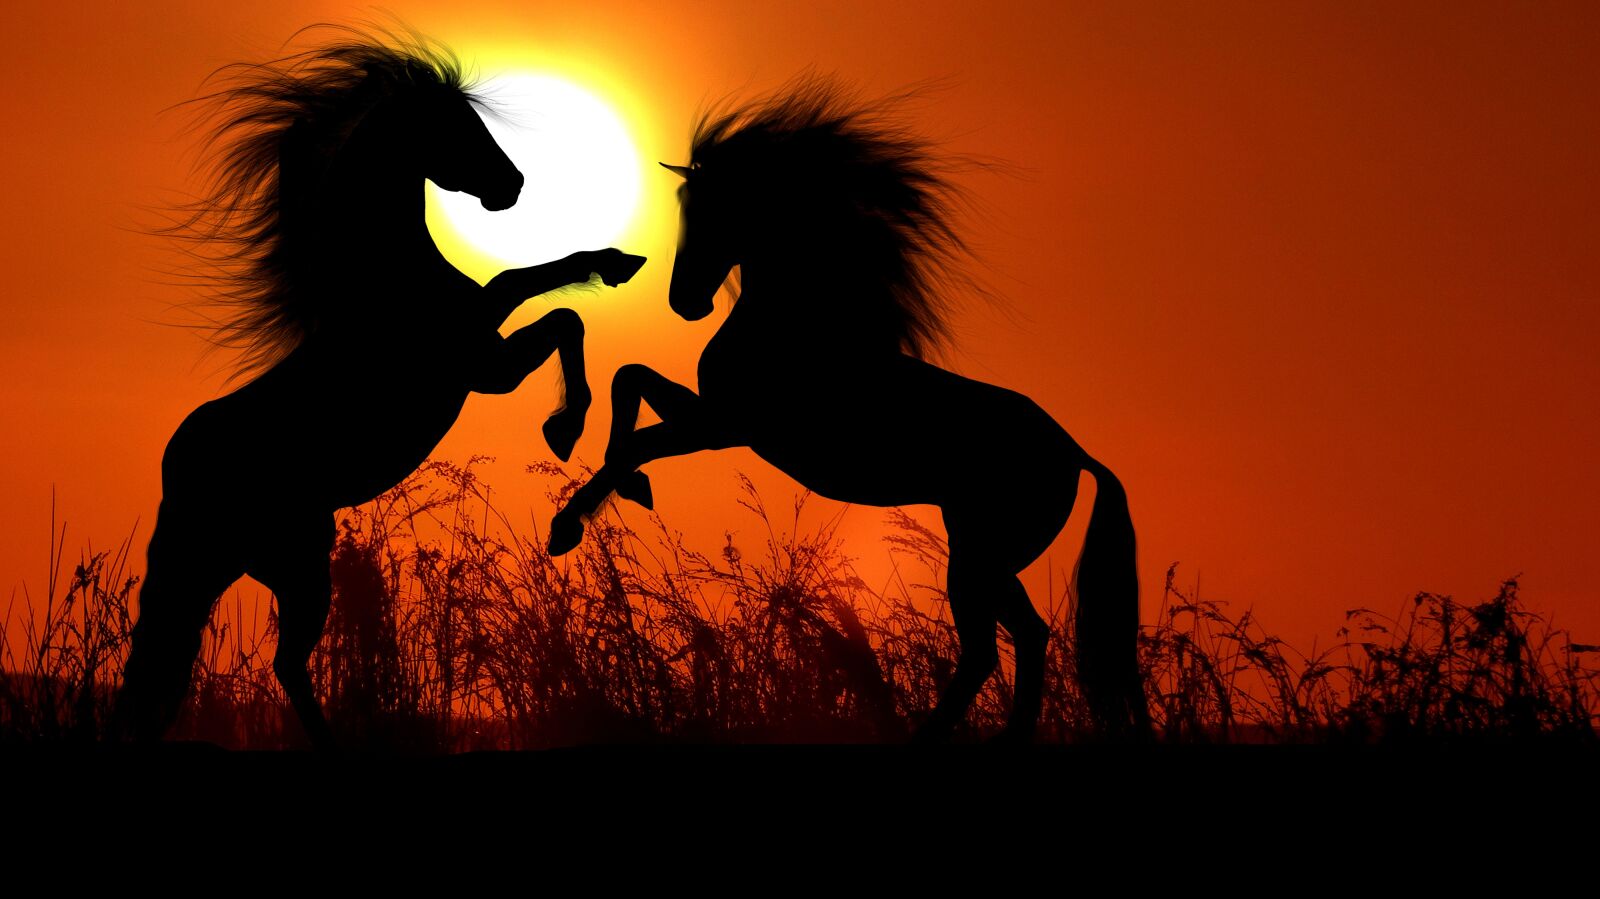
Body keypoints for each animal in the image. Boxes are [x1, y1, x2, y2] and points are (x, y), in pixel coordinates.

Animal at [113, 27, 645, 749]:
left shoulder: (484, 340)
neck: (389, 281)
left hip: (250, 563)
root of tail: (179, 464)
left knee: (188, 659)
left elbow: (527, 282)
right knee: (272, 663)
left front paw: (616, 263)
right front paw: (564, 426)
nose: (512, 184)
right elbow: (558, 311)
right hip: (284, 566)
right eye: (457, 124)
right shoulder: (486, 369)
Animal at [547, 80, 1149, 741]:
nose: (686, 301)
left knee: (986, 651)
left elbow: (638, 432)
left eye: (710, 207)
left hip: (980, 554)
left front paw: (569, 524)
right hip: (987, 552)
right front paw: (606, 472)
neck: (800, 326)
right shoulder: (719, 419)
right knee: (1030, 635)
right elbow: (630, 380)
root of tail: (1074, 452)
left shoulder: (729, 424)